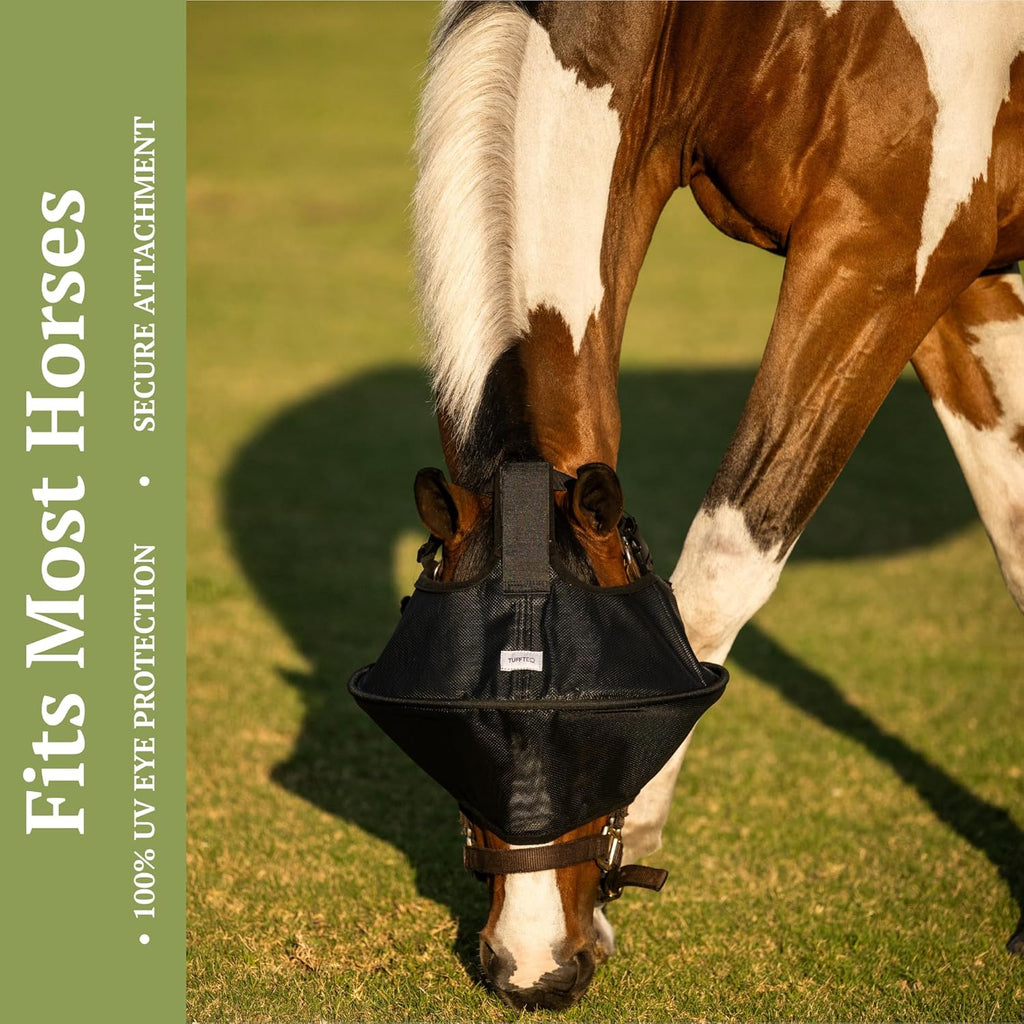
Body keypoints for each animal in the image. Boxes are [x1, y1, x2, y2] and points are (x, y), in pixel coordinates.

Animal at [409, 0, 1024, 1010]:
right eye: (452, 727)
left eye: (607, 725)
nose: (532, 969)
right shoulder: (961, 274)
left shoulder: (883, 258)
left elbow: (717, 574)